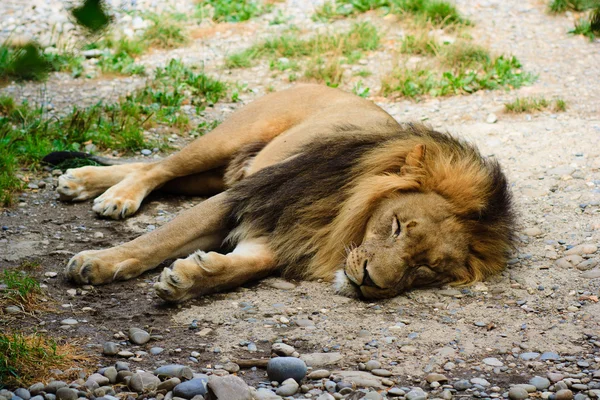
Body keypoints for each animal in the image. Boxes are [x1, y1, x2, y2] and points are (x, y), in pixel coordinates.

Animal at [55, 85, 516, 304]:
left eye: (426, 270)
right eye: (397, 226)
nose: (370, 282)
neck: (338, 219)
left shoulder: (285, 234)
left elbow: (246, 265)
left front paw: (190, 278)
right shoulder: (246, 197)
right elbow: (158, 240)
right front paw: (97, 263)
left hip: (219, 172)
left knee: (154, 170)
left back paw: (83, 180)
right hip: (227, 142)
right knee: (159, 167)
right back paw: (114, 196)